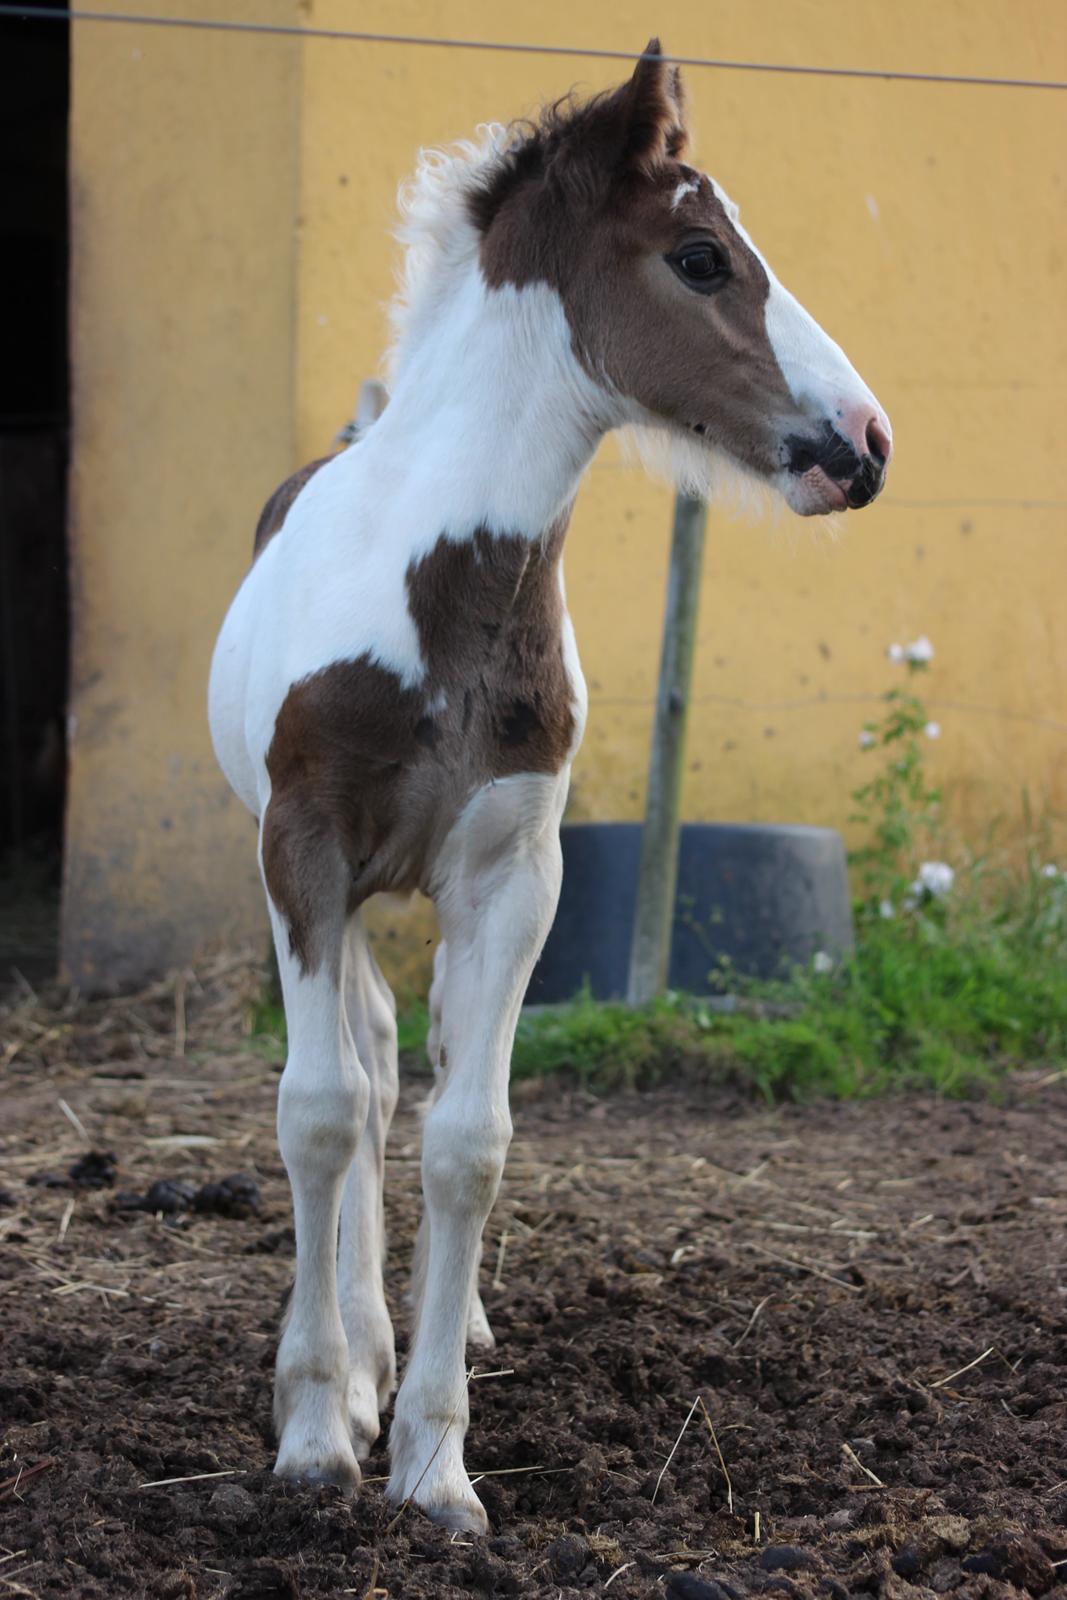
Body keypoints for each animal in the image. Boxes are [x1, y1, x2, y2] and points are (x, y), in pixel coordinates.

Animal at [207, 43, 895, 1529]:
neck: (439, 591)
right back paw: (352, 1359)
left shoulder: (514, 873)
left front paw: (434, 1464)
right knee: (356, 1073)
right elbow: (316, 1112)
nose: (864, 443)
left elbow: (469, 1132)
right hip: (332, 886)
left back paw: (412, 1337)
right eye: (699, 258)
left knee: (403, 1061)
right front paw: (316, 1432)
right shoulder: (304, 853)